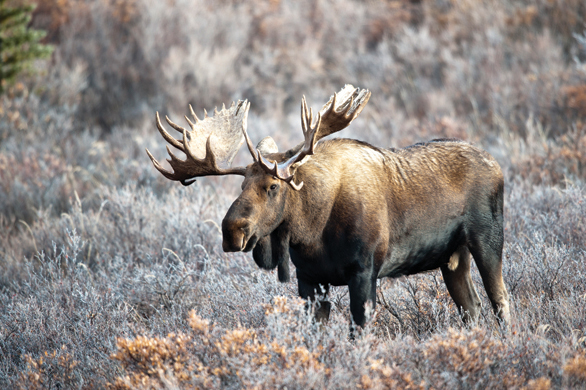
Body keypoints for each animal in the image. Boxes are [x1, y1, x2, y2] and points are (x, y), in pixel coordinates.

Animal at [145, 86, 506, 330]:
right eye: (241, 186)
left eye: (273, 186)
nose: (231, 231)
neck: (311, 232)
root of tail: (497, 165)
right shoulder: (310, 280)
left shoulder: (364, 272)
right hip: (452, 258)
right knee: (472, 308)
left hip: (488, 240)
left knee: (501, 302)